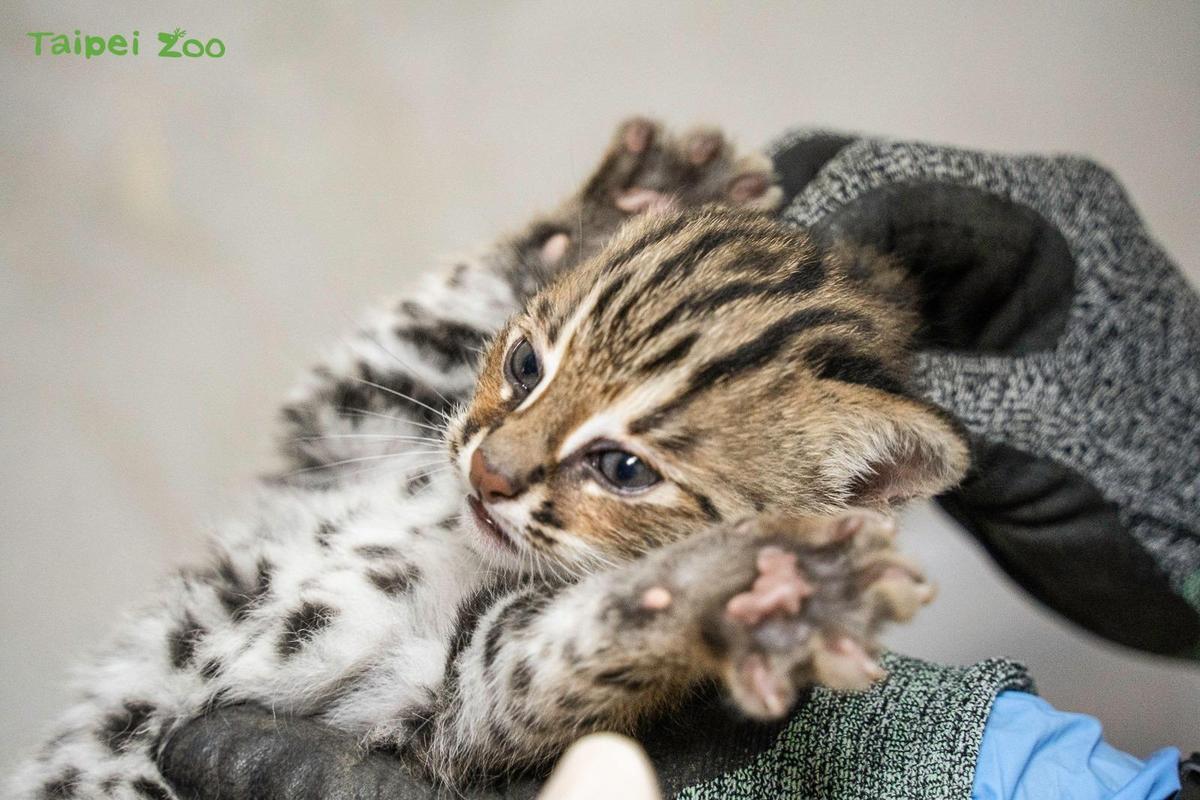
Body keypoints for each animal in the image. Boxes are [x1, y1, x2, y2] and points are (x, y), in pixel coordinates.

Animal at [9, 117, 964, 796]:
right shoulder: (343, 423)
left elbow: (571, 644)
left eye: (625, 471)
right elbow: (416, 323)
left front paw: (755, 596)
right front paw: (622, 203)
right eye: (525, 365)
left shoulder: (445, 693)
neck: (444, 524)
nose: (488, 473)